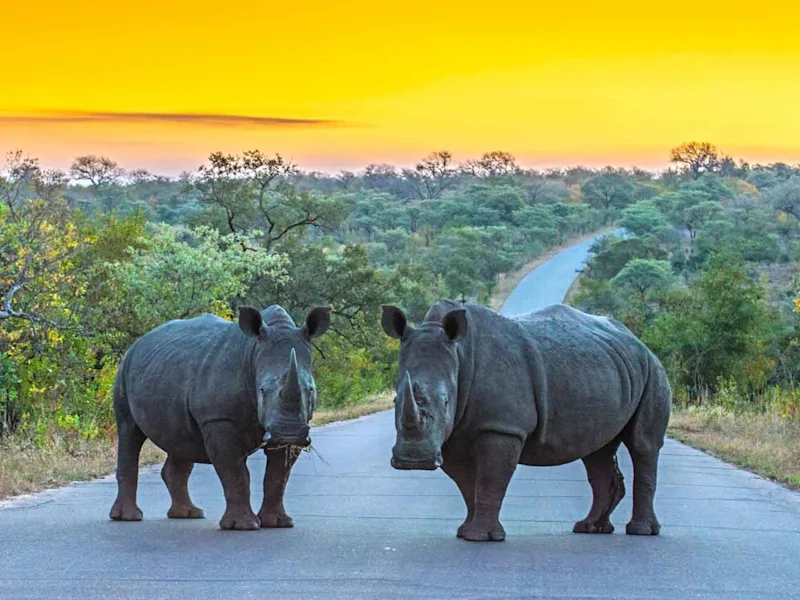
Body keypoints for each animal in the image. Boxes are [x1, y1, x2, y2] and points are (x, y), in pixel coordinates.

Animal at [110, 305, 330, 530]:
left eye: (311, 390)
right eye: (262, 390)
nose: (289, 433)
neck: (253, 353)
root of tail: (139, 342)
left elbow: (277, 476)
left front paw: (278, 523)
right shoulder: (218, 418)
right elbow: (236, 472)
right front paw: (243, 526)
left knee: (180, 440)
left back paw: (188, 514)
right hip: (124, 370)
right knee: (129, 430)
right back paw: (129, 517)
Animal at [381, 300, 671, 542]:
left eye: (444, 402)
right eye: (395, 400)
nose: (413, 461)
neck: (459, 355)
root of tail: (638, 341)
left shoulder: (502, 427)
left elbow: (490, 478)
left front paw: (481, 537)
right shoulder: (452, 435)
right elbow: (466, 483)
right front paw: (465, 532)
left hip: (653, 370)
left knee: (643, 445)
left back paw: (641, 532)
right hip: (607, 371)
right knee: (596, 451)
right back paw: (590, 528)